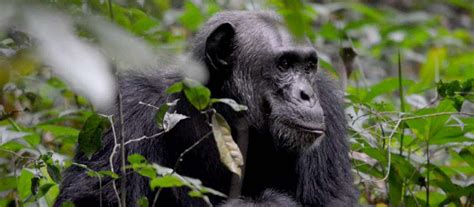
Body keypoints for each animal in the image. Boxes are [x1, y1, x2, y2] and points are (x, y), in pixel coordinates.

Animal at [55, 10, 358, 207]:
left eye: (308, 67)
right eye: (284, 65)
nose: (306, 94)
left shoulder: (329, 104)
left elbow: (334, 200)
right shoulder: (128, 109)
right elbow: (91, 198)